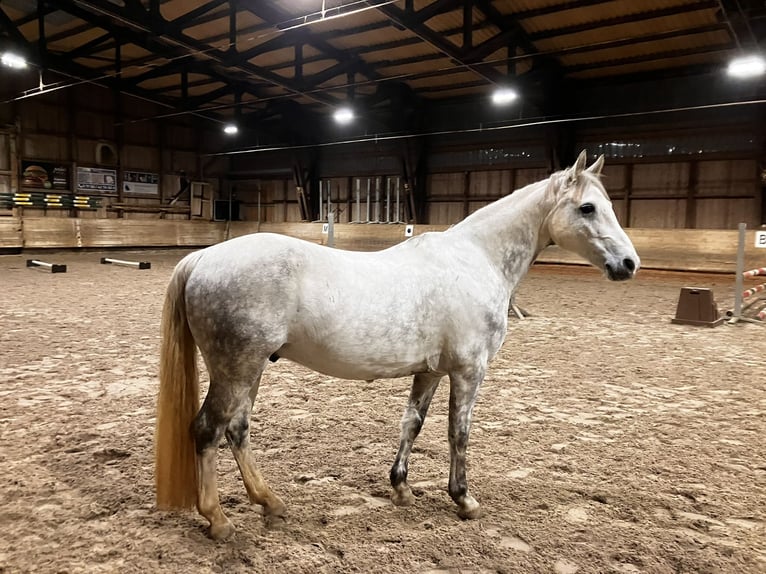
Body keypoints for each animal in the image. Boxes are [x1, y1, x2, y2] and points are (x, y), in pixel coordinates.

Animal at [154, 150, 639, 540]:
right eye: (588, 207)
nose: (629, 263)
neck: (475, 259)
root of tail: (204, 256)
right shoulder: (469, 370)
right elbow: (458, 433)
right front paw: (463, 499)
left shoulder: (430, 371)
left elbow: (412, 424)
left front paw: (401, 487)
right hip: (236, 369)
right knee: (208, 431)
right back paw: (218, 520)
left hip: (249, 370)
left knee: (237, 430)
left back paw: (270, 503)